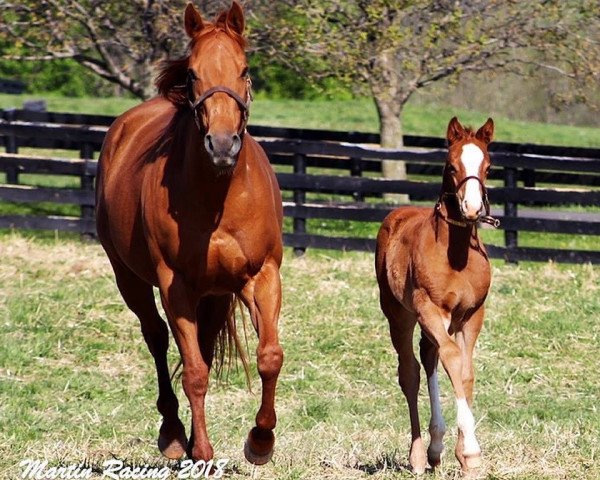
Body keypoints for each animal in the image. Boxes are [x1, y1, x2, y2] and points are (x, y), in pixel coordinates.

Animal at [376, 117, 496, 476]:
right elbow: (453, 359)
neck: (455, 255)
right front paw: (471, 451)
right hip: (399, 315)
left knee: (429, 357)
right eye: (452, 165)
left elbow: (465, 372)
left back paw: (436, 447)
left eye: (488, 165)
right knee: (411, 371)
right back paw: (418, 455)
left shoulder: (472, 315)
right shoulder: (429, 308)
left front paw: (462, 454)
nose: (472, 208)